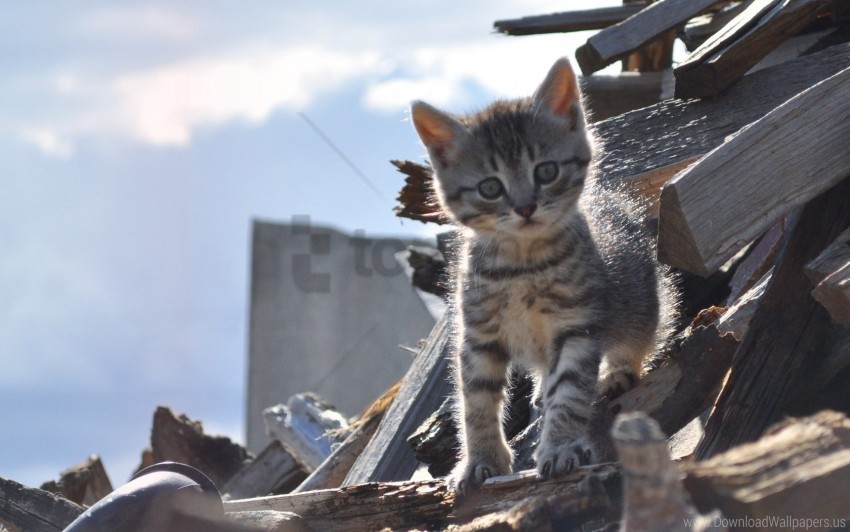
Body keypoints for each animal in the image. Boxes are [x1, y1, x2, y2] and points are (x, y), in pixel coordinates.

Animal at [410, 56, 676, 492]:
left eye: (546, 171)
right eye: (490, 187)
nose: (525, 207)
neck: (522, 264)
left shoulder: (578, 326)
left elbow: (568, 391)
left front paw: (561, 447)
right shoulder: (478, 335)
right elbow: (476, 401)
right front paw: (481, 461)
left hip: (641, 302)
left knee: (639, 336)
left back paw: (617, 373)